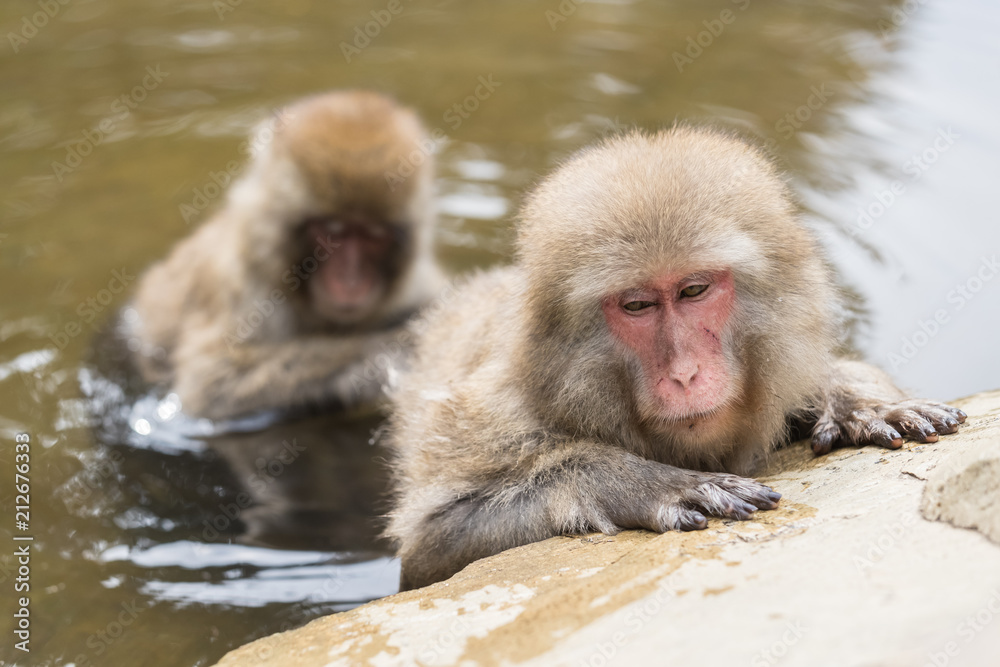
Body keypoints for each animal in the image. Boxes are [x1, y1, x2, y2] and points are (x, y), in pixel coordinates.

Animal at [125, 91, 446, 421]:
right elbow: (212, 381)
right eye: (332, 230)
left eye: (374, 235)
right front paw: (389, 354)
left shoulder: (419, 286)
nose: (350, 280)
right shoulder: (245, 286)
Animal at [384, 126, 967, 590]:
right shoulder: (498, 416)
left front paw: (854, 400)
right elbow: (433, 544)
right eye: (638, 305)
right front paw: (635, 484)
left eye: (693, 290)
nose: (685, 373)